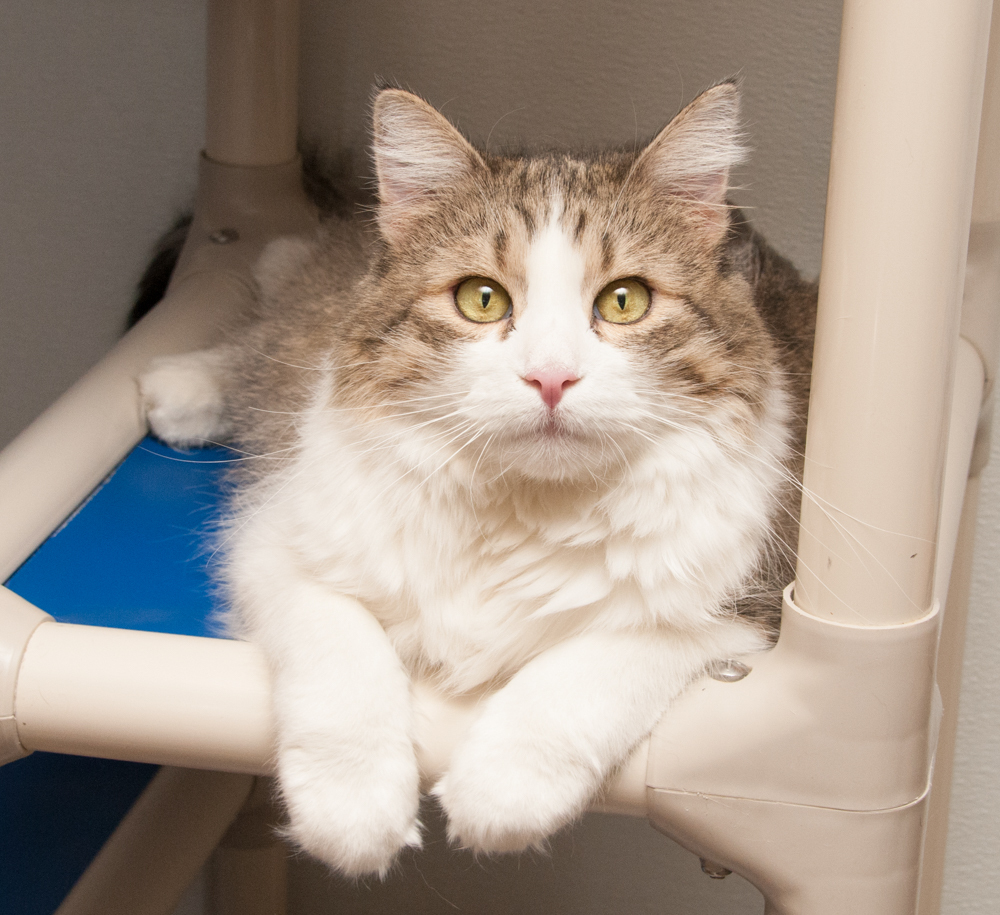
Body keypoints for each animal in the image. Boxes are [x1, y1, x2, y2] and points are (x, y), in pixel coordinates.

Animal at [137, 82, 816, 876]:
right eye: (481, 299)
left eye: (624, 301)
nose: (551, 377)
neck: (523, 508)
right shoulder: (277, 540)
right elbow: (340, 657)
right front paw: (352, 807)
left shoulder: (749, 612)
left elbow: (600, 665)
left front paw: (503, 788)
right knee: (274, 333)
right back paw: (185, 384)